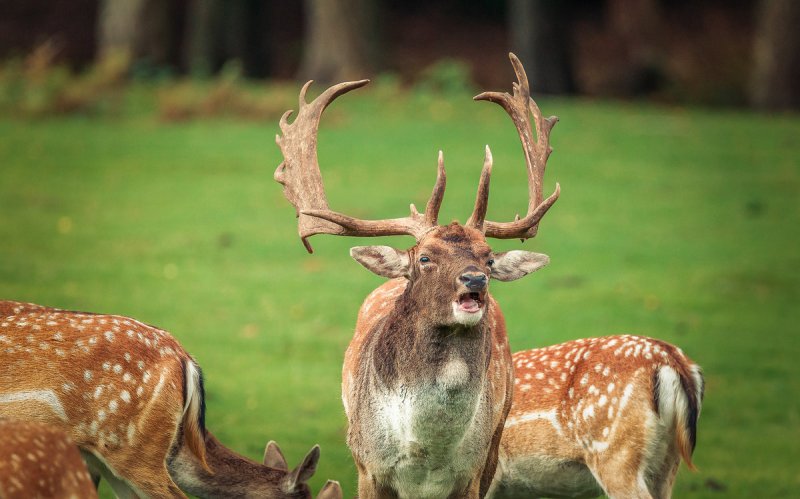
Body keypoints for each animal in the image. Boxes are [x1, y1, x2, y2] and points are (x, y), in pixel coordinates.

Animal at [278, 52, 560, 498]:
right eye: (425, 258)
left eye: (489, 259)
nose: (475, 280)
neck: (427, 456)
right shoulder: (367, 464)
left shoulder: (473, 472)